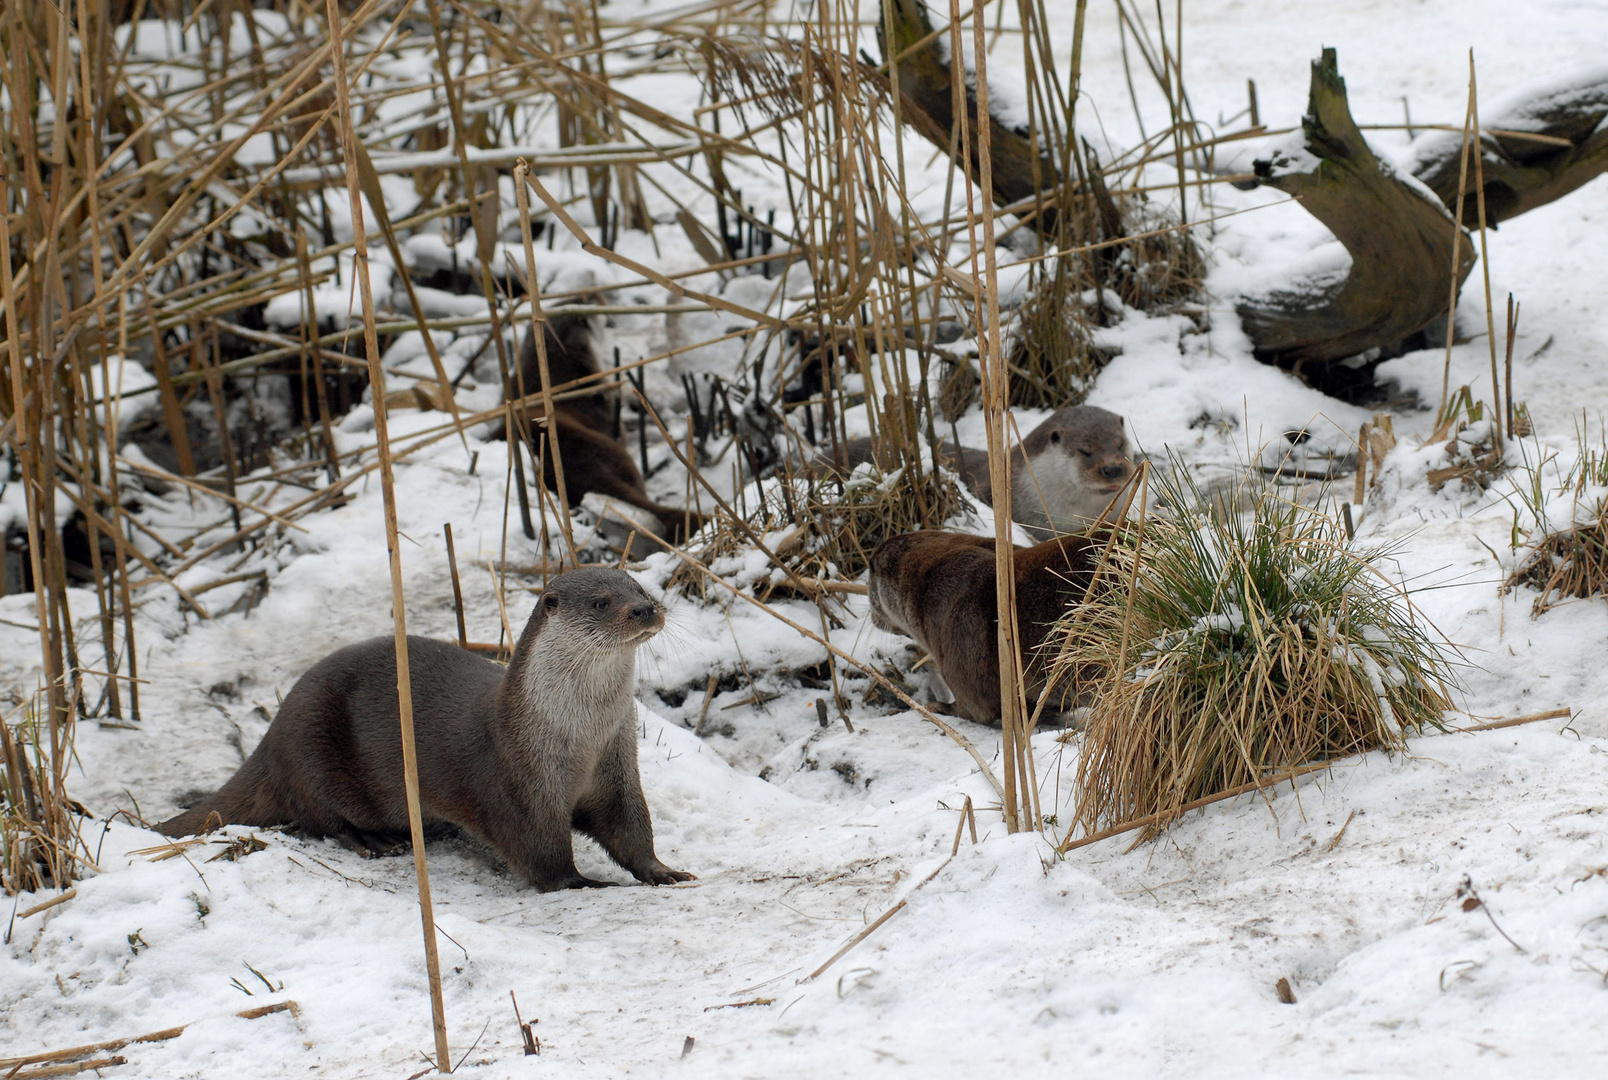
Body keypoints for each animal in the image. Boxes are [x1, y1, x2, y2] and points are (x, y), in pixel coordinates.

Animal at [153, 568, 694, 887]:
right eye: (602, 602)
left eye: (640, 588)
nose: (645, 609)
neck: (578, 737)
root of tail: (269, 738)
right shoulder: (517, 783)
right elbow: (539, 851)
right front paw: (582, 882)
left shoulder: (617, 768)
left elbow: (631, 829)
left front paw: (664, 871)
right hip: (309, 747)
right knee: (320, 818)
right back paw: (376, 842)